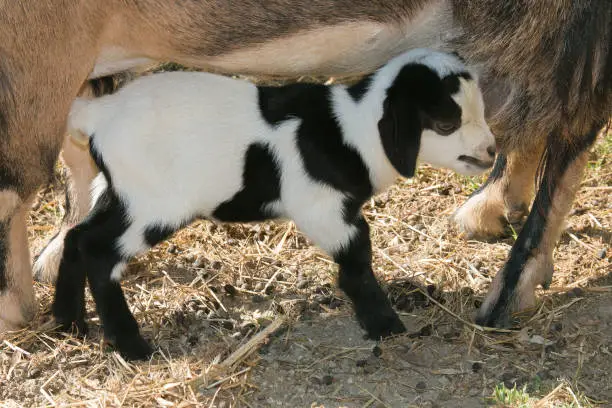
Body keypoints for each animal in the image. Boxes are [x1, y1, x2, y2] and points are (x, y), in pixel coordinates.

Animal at [53, 49, 498, 358]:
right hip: (153, 203)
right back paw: (131, 345)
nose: (491, 152)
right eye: (445, 124)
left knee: (77, 238)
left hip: (122, 193)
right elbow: (357, 254)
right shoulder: (322, 208)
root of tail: (98, 114)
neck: (351, 131)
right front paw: (383, 323)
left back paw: (68, 323)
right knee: (99, 252)